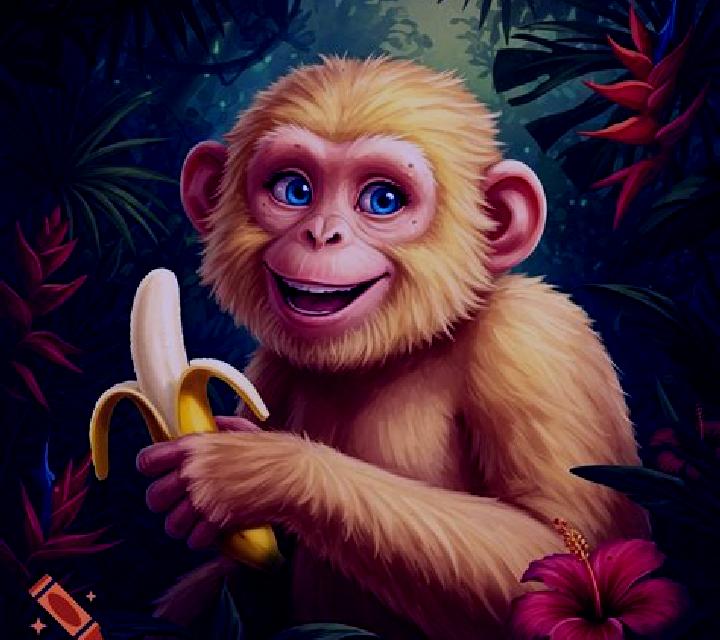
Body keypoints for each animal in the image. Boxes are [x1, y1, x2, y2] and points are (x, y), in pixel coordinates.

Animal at [136, 56, 649, 639]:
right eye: (294, 190)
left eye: (382, 200)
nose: (321, 234)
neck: (396, 351)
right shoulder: (268, 371)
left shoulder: (536, 341)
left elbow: (560, 562)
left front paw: (259, 470)